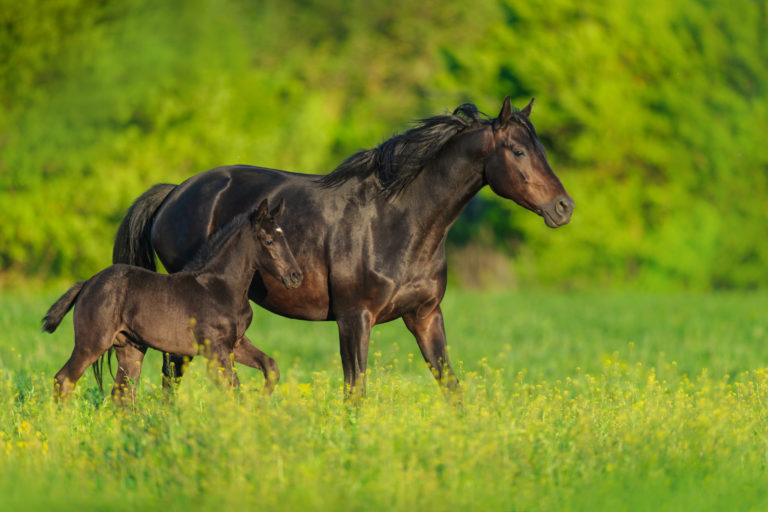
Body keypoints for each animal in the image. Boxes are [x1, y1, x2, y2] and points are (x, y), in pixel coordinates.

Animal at [43, 199, 302, 401]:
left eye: (285, 239)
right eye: (268, 241)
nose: (295, 276)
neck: (221, 286)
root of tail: (87, 283)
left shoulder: (236, 343)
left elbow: (270, 367)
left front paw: (261, 405)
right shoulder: (215, 348)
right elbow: (233, 388)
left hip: (130, 348)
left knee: (122, 394)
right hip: (92, 343)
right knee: (64, 380)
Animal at [113, 96, 574, 401]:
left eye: (541, 149)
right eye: (518, 150)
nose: (563, 208)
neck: (397, 221)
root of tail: (175, 193)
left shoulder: (425, 315)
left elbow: (450, 385)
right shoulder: (355, 318)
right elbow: (356, 391)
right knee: (172, 371)